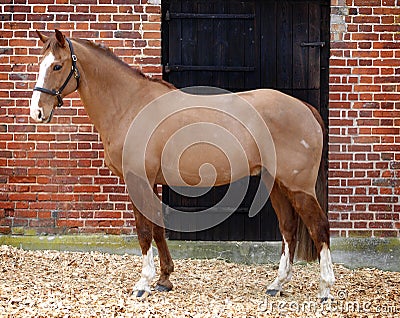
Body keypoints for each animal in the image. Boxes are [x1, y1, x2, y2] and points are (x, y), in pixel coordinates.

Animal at [29, 30, 334, 300]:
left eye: (57, 65)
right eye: (39, 64)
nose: (37, 112)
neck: (130, 105)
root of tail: (306, 109)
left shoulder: (137, 179)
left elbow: (143, 231)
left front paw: (143, 283)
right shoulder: (151, 181)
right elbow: (157, 227)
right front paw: (165, 279)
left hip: (298, 185)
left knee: (319, 226)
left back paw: (325, 289)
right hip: (277, 183)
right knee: (288, 229)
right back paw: (277, 284)